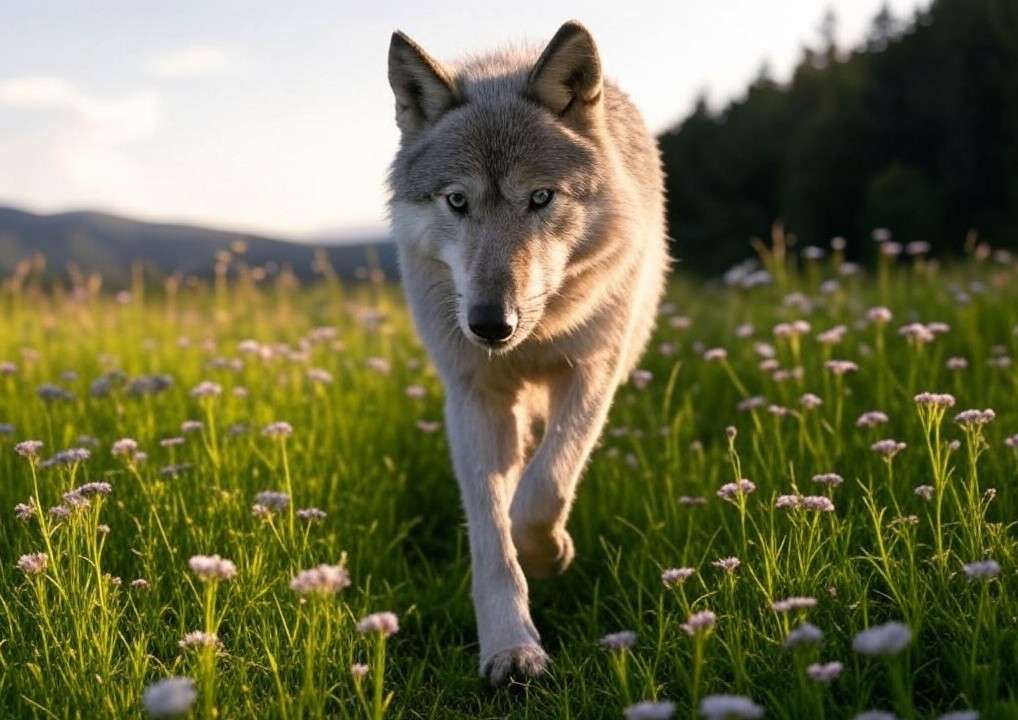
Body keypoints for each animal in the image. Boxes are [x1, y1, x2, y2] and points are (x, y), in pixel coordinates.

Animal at [386, 20, 668, 685]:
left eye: (540, 198)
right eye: (456, 201)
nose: (491, 324)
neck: (535, 334)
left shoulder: (592, 373)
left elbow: (544, 490)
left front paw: (549, 553)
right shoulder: (473, 397)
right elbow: (492, 533)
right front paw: (510, 649)